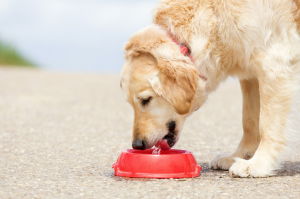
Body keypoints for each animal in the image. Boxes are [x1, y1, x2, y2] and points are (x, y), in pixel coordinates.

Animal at [119, 0, 300, 177]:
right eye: (131, 104)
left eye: (146, 100)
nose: (137, 145)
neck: (215, 18)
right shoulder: (250, 75)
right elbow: (249, 121)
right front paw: (238, 156)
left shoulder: (273, 64)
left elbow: (267, 125)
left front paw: (259, 164)